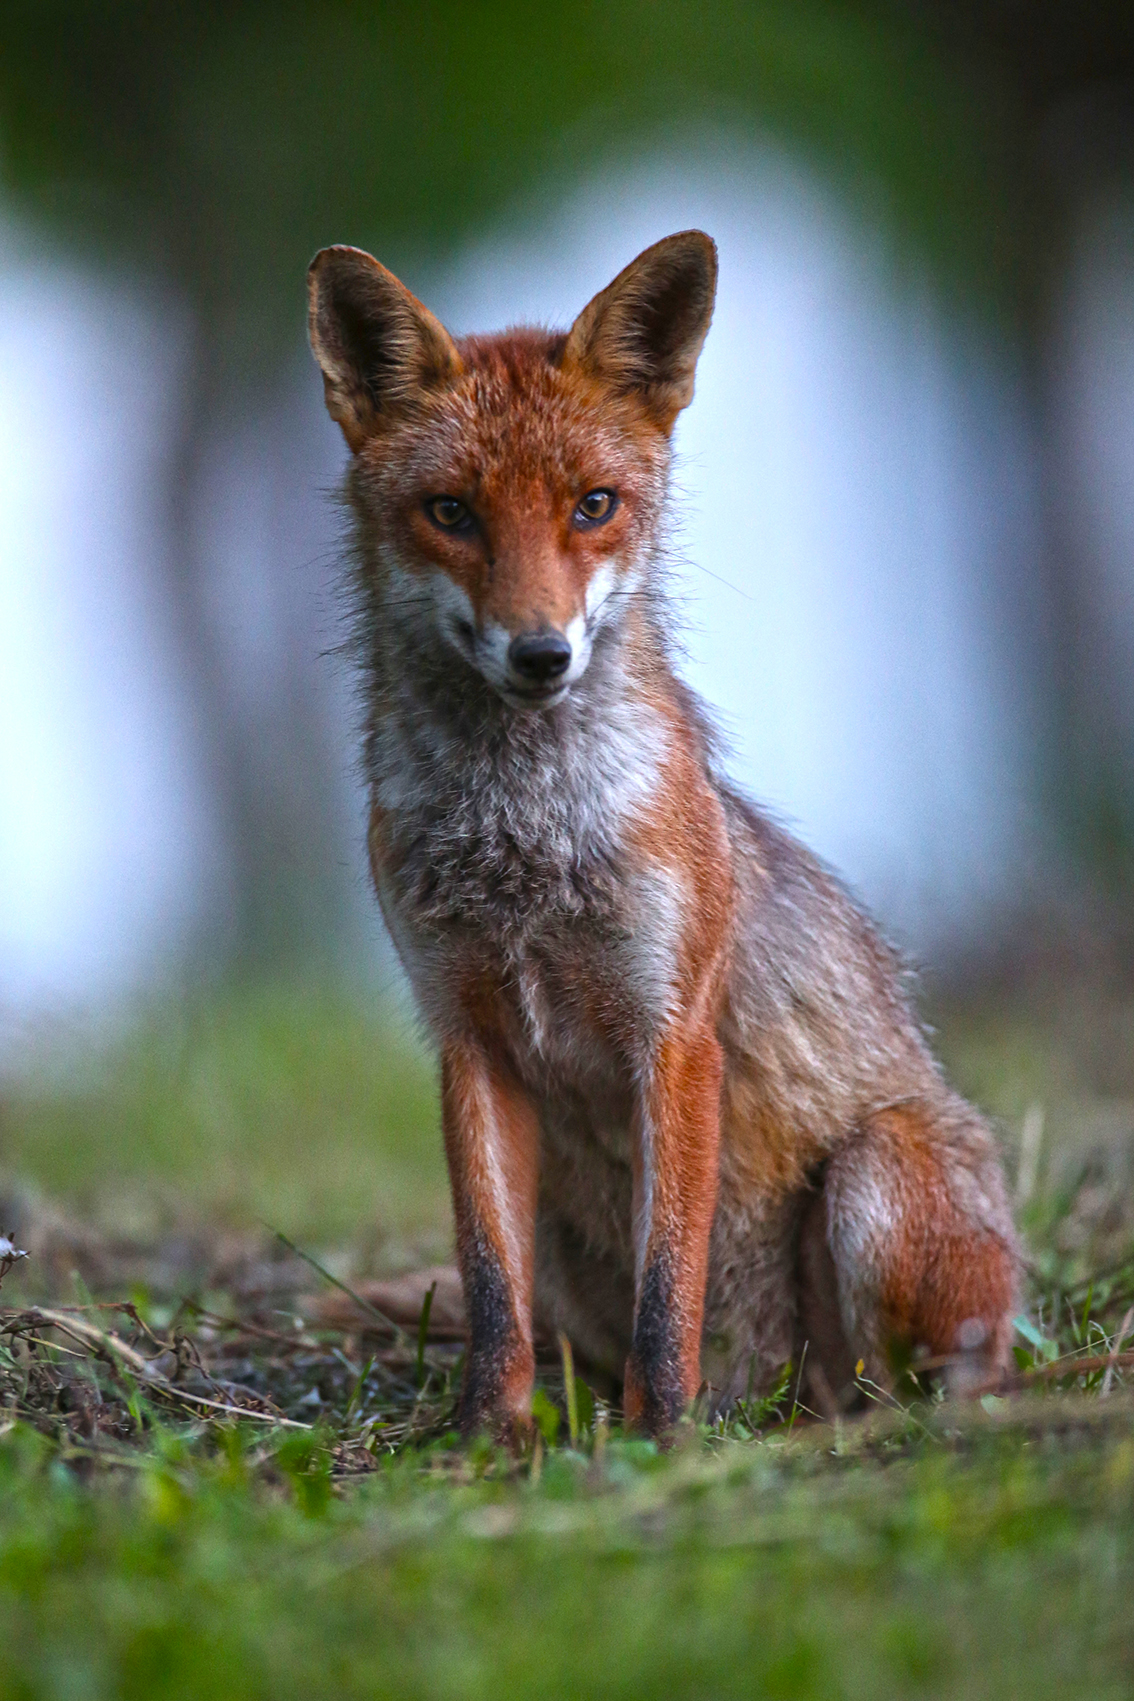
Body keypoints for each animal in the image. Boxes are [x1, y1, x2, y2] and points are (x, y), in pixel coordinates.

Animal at [306, 229, 1019, 1441]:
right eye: (451, 512)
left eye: (595, 504)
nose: (541, 653)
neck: (524, 839)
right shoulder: (467, 1035)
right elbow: (488, 1291)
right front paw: (485, 1440)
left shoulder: (674, 1034)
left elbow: (667, 1281)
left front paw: (662, 1439)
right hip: (565, 1243)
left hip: (877, 1181)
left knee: (919, 1386)